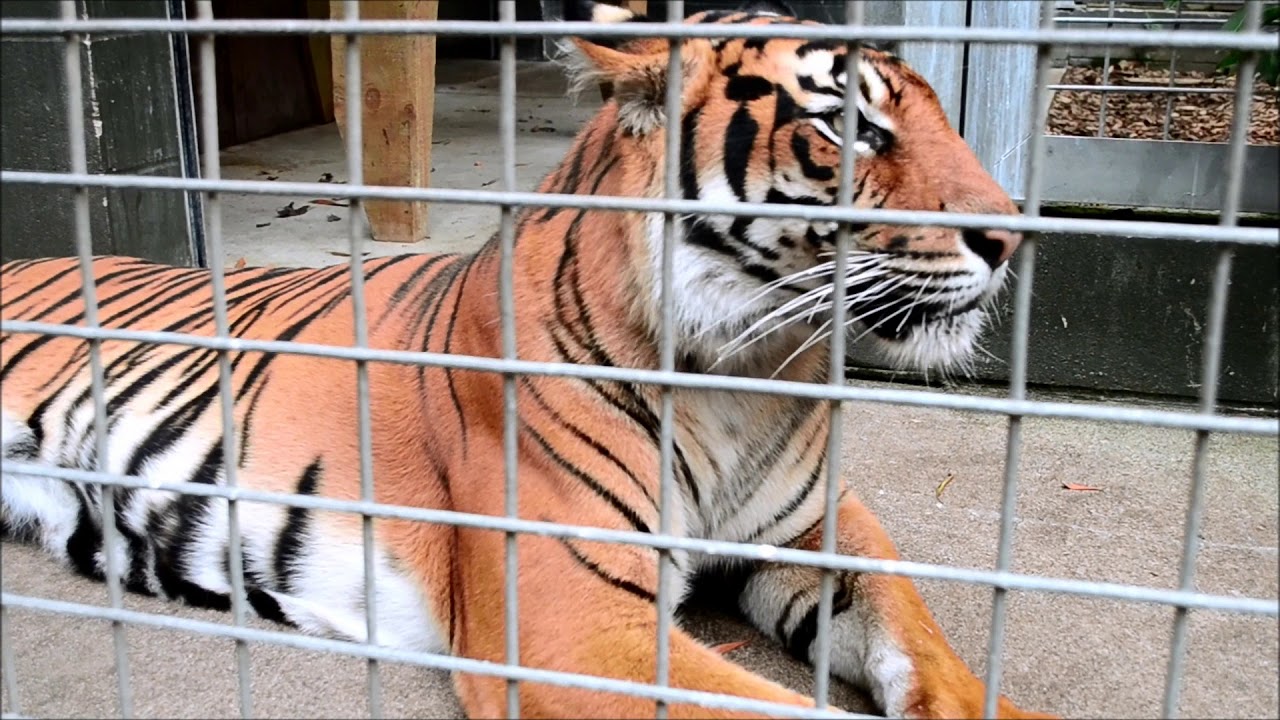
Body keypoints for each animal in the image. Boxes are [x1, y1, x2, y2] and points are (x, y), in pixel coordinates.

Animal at [0, 1, 1055, 718]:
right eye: (850, 127)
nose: (1014, 236)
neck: (750, 370)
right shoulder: (578, 627)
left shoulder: (816, 526)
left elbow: (924, 638)